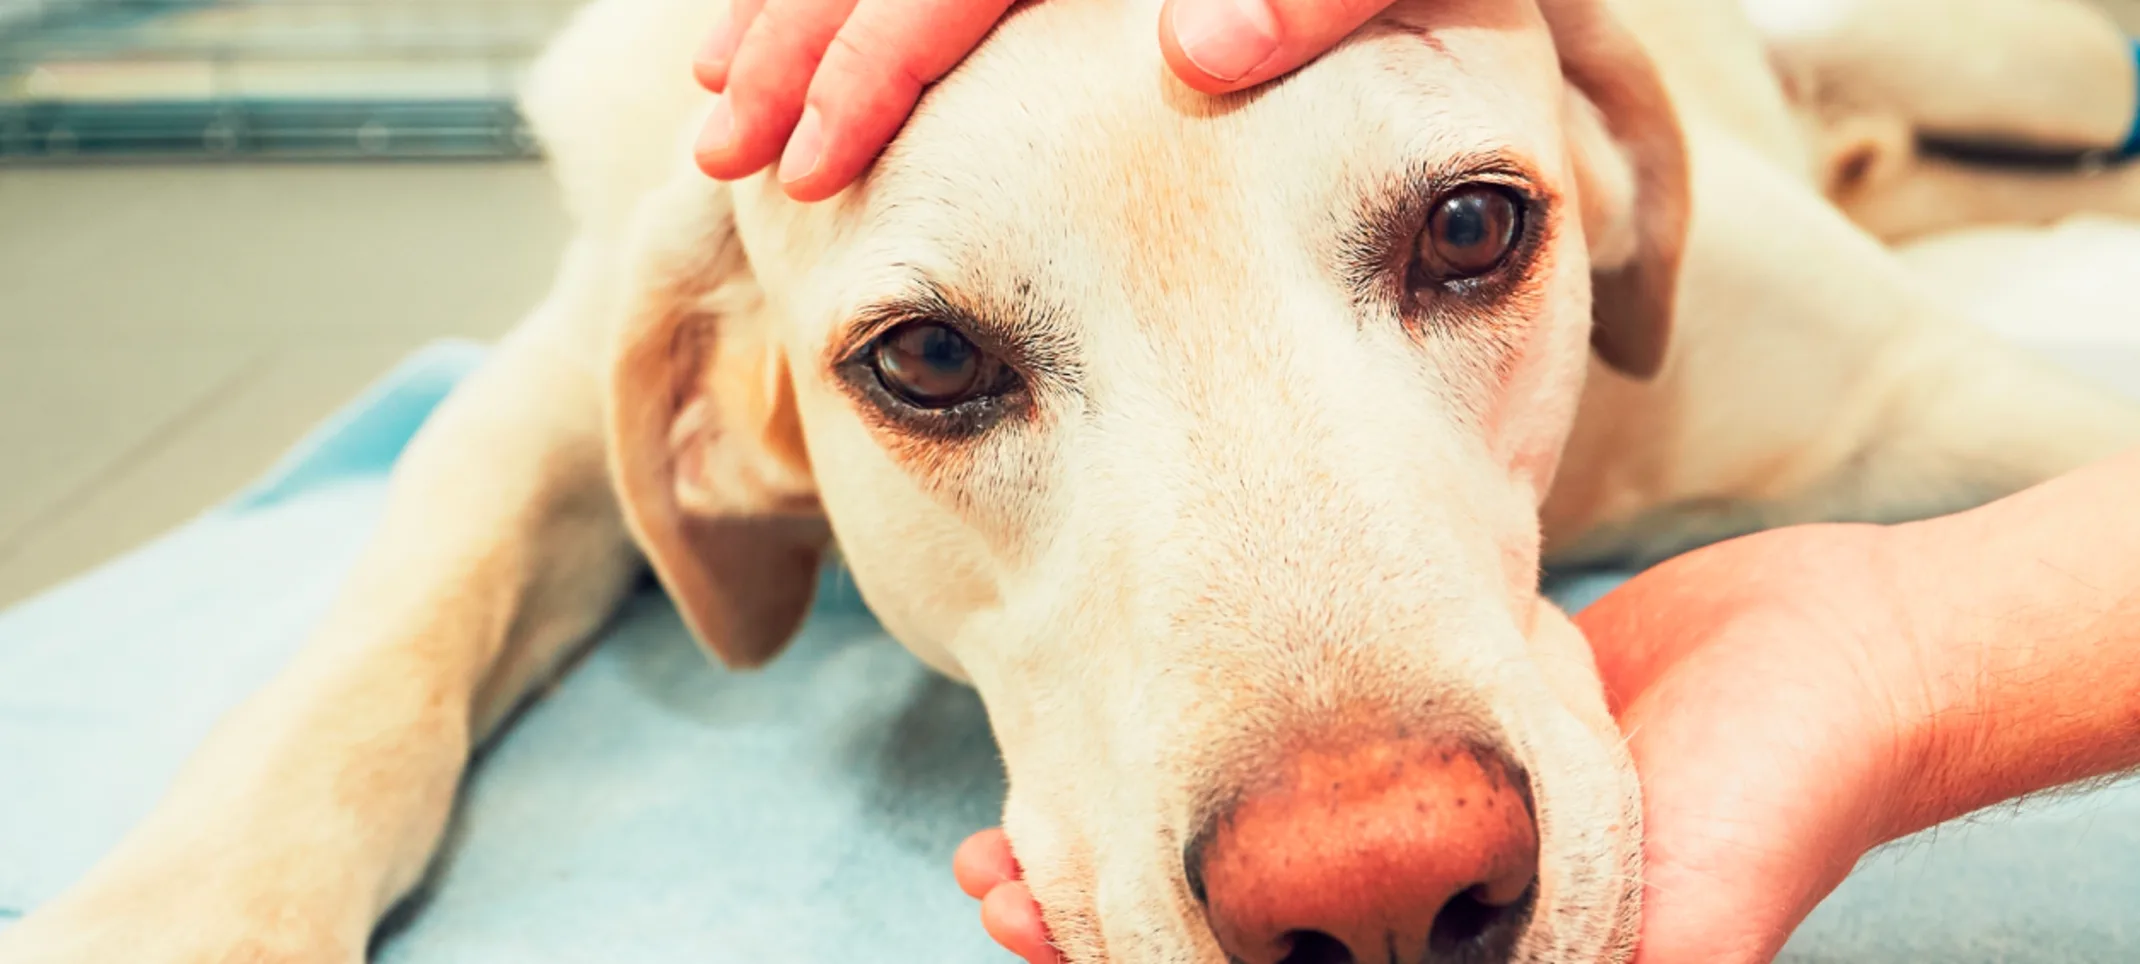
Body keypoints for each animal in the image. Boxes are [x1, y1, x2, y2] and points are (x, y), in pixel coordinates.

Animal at [4, 0, 2140, 955]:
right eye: (931, 360)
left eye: (1471, 226)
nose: (1381, 894)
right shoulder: (560, 354)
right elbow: (376, 655)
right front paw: (182, 913)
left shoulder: (1955, 383)